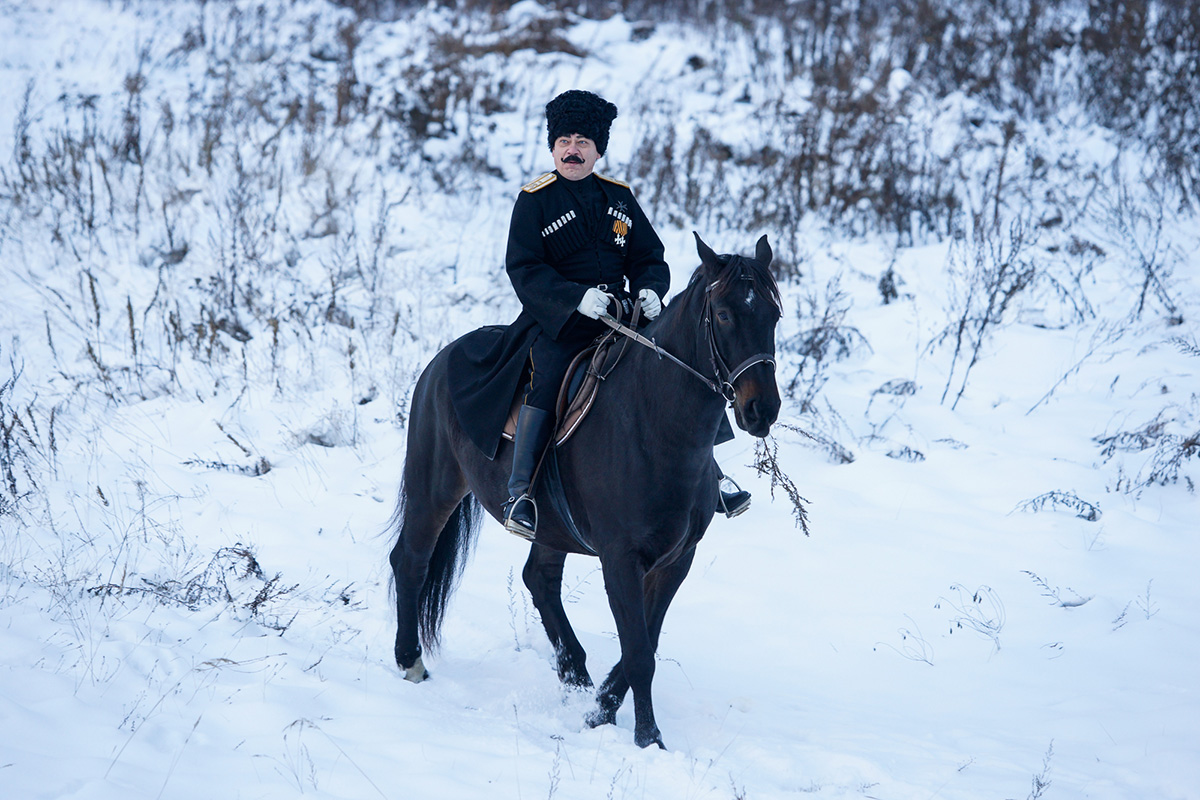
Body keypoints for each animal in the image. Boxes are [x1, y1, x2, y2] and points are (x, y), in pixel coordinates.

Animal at [384, 232, 782, 753]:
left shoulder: (676, 559)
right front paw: (648, 738)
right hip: (435, 485)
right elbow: (639, 653)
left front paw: (600, 710)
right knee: (411, 559)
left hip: (551, 524)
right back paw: (410, 661)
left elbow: (646, 643)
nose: (762, 410)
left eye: (774, 314)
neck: (656, 424)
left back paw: (574, 674)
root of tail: (439, 361)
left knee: (539, 579)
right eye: (724, 314)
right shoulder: (620, 558)